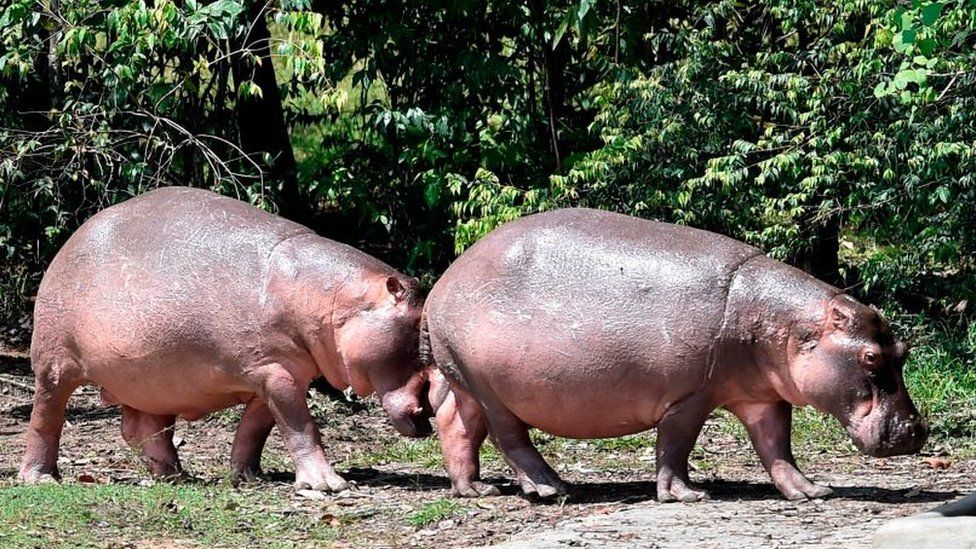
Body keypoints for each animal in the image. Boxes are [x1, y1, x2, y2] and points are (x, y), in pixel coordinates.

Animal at [18, 186, 430, 490]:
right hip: (55, 363)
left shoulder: (277, 374)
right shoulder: (273, 370)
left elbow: (256, 429)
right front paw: (329, 485)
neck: (327, 297)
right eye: (416, 334)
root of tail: (73, 237)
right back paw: (40, 479)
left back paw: (174, 475)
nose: (428, 411)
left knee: (141, 428)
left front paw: (247, 476)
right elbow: (301, 426)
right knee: (46, 416)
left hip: (150, 379)